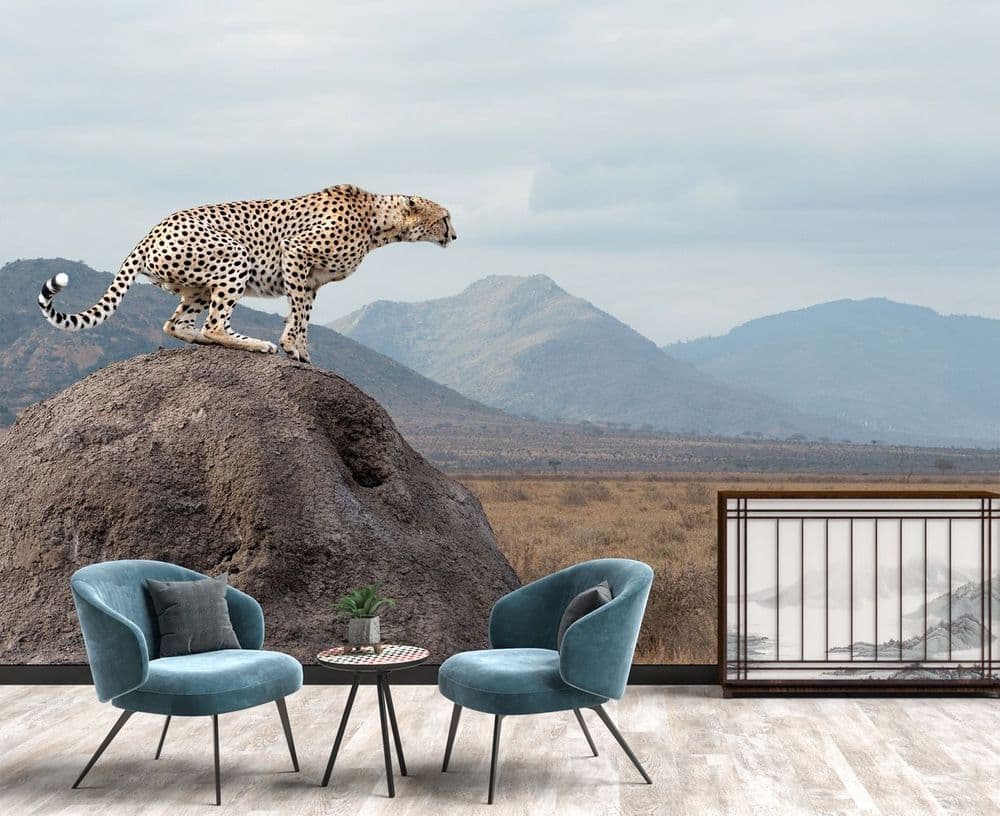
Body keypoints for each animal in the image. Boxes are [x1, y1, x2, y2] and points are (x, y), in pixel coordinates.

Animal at [37, 184, 456, 363]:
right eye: (445, 217)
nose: (454, 235)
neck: (377, 222)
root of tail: (150, 231)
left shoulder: (312, 280)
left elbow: (304, 315)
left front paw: (303, 352)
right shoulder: (296, 252)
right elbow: (298, 315)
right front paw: (290, 346)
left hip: (197, 286)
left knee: (177, 324)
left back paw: (205, 341)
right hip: (234, 256)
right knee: (214, 325)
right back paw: (255, 344)